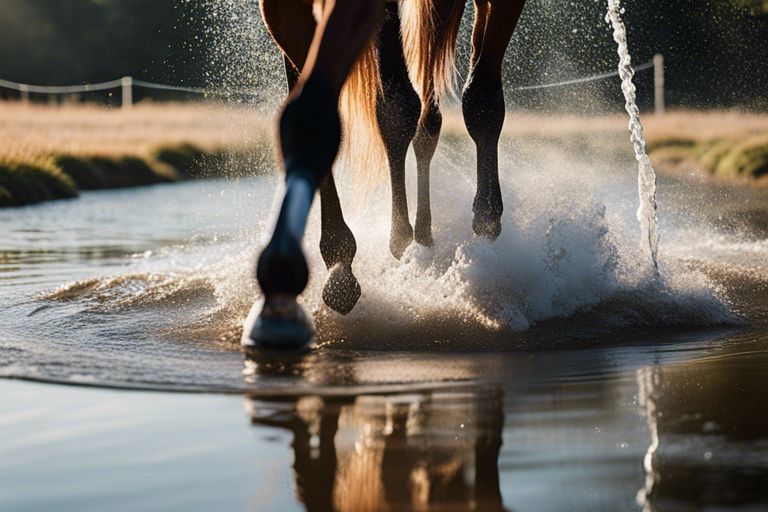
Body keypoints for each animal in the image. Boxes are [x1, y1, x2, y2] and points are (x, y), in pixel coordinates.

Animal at [243, 0, 524, 352]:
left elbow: (453, 103)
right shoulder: (283, 9)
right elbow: (311, 111)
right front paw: (329, 268)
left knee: (454, 106)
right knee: (426, 119)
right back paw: (421, 237)